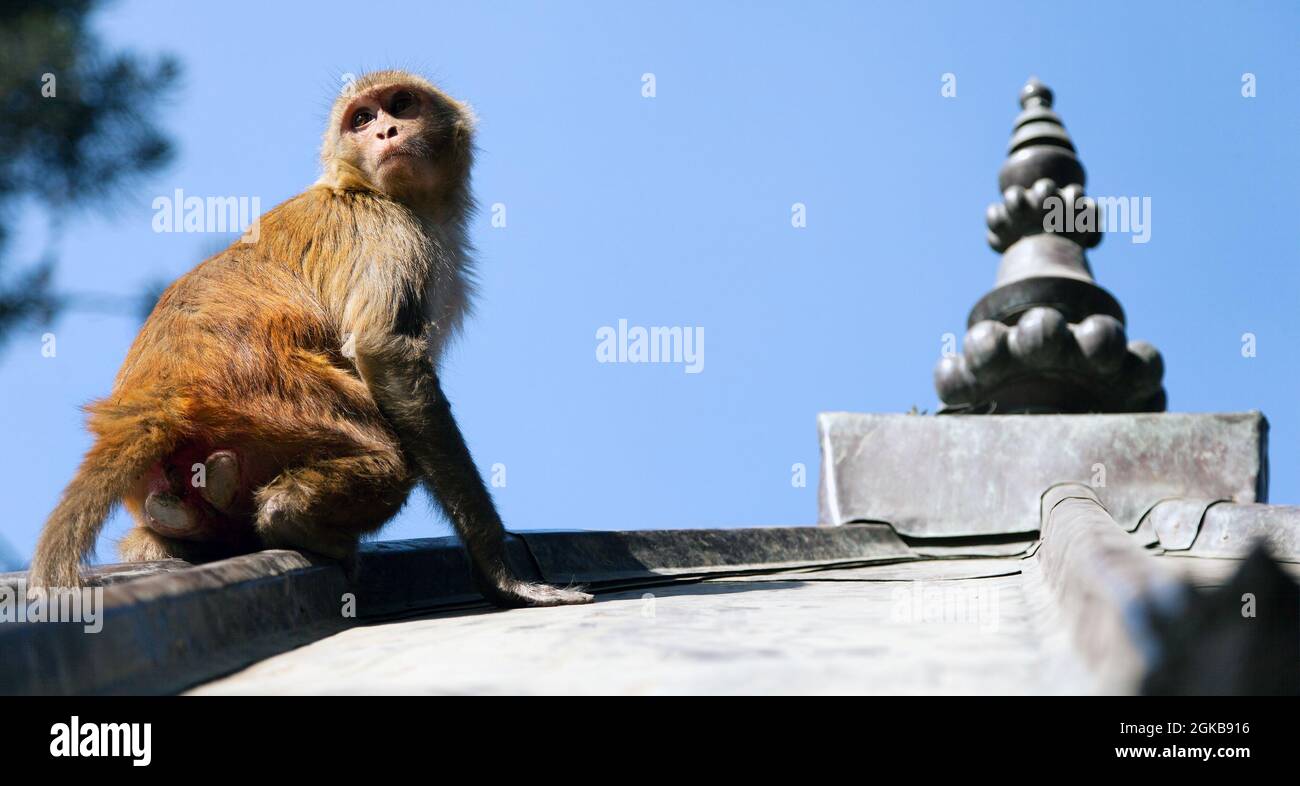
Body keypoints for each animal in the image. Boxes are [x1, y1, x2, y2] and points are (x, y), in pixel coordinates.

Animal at [27, 70, 595, 608]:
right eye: (362, 119)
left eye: (401, 104)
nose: (387, 131)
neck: (366, 190)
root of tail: (162, 396)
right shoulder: (396, 233)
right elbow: (384, 351)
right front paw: (500, 573)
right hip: (284, 399)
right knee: (391, 457)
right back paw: (292, 521)